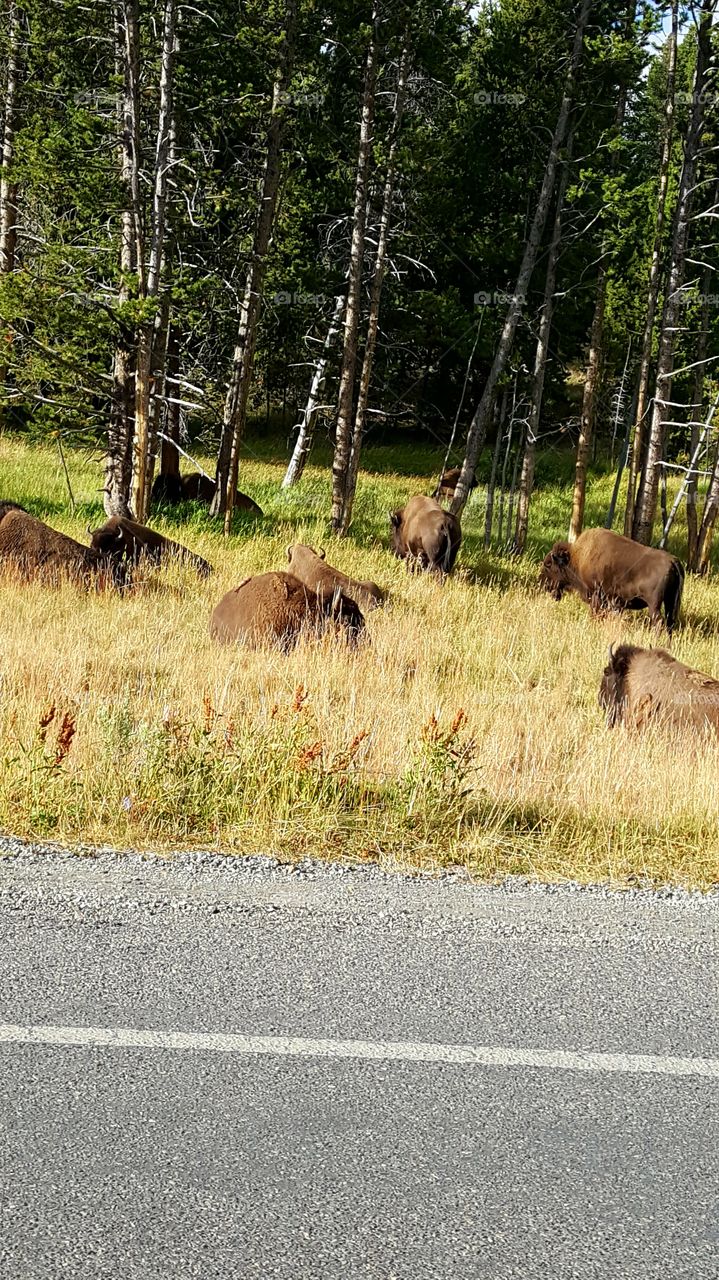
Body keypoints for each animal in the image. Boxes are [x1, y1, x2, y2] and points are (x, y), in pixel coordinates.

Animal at [539, 527, 684, 635]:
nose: (544, 584)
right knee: (670, 622)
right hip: (670, 601)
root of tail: (673, 561)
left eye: (548, 564)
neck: (577, 557)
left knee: (659, 622)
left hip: (654, 605)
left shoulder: (596, 596)